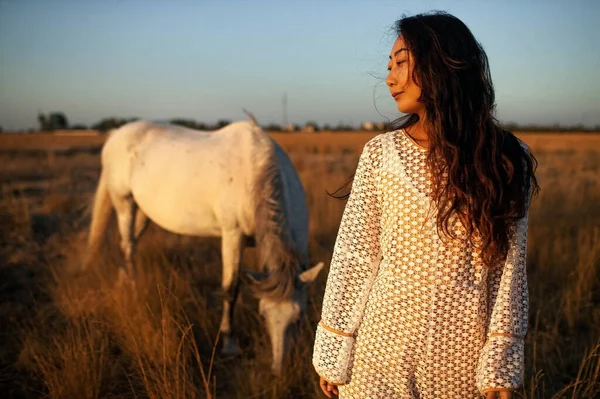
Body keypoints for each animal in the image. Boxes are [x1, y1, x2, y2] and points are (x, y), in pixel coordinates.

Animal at [83, 117, 324, 376]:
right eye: (263, 314)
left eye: (299, 318)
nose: (278, 370)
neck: (255, 172)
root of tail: (116, 134)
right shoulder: (232, 235)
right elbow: (231, 288)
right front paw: (229, 345)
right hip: (124, 203)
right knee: (127, 247)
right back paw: (133, 291)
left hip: (142, 211)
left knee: (130, 246)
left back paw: (122, 285)